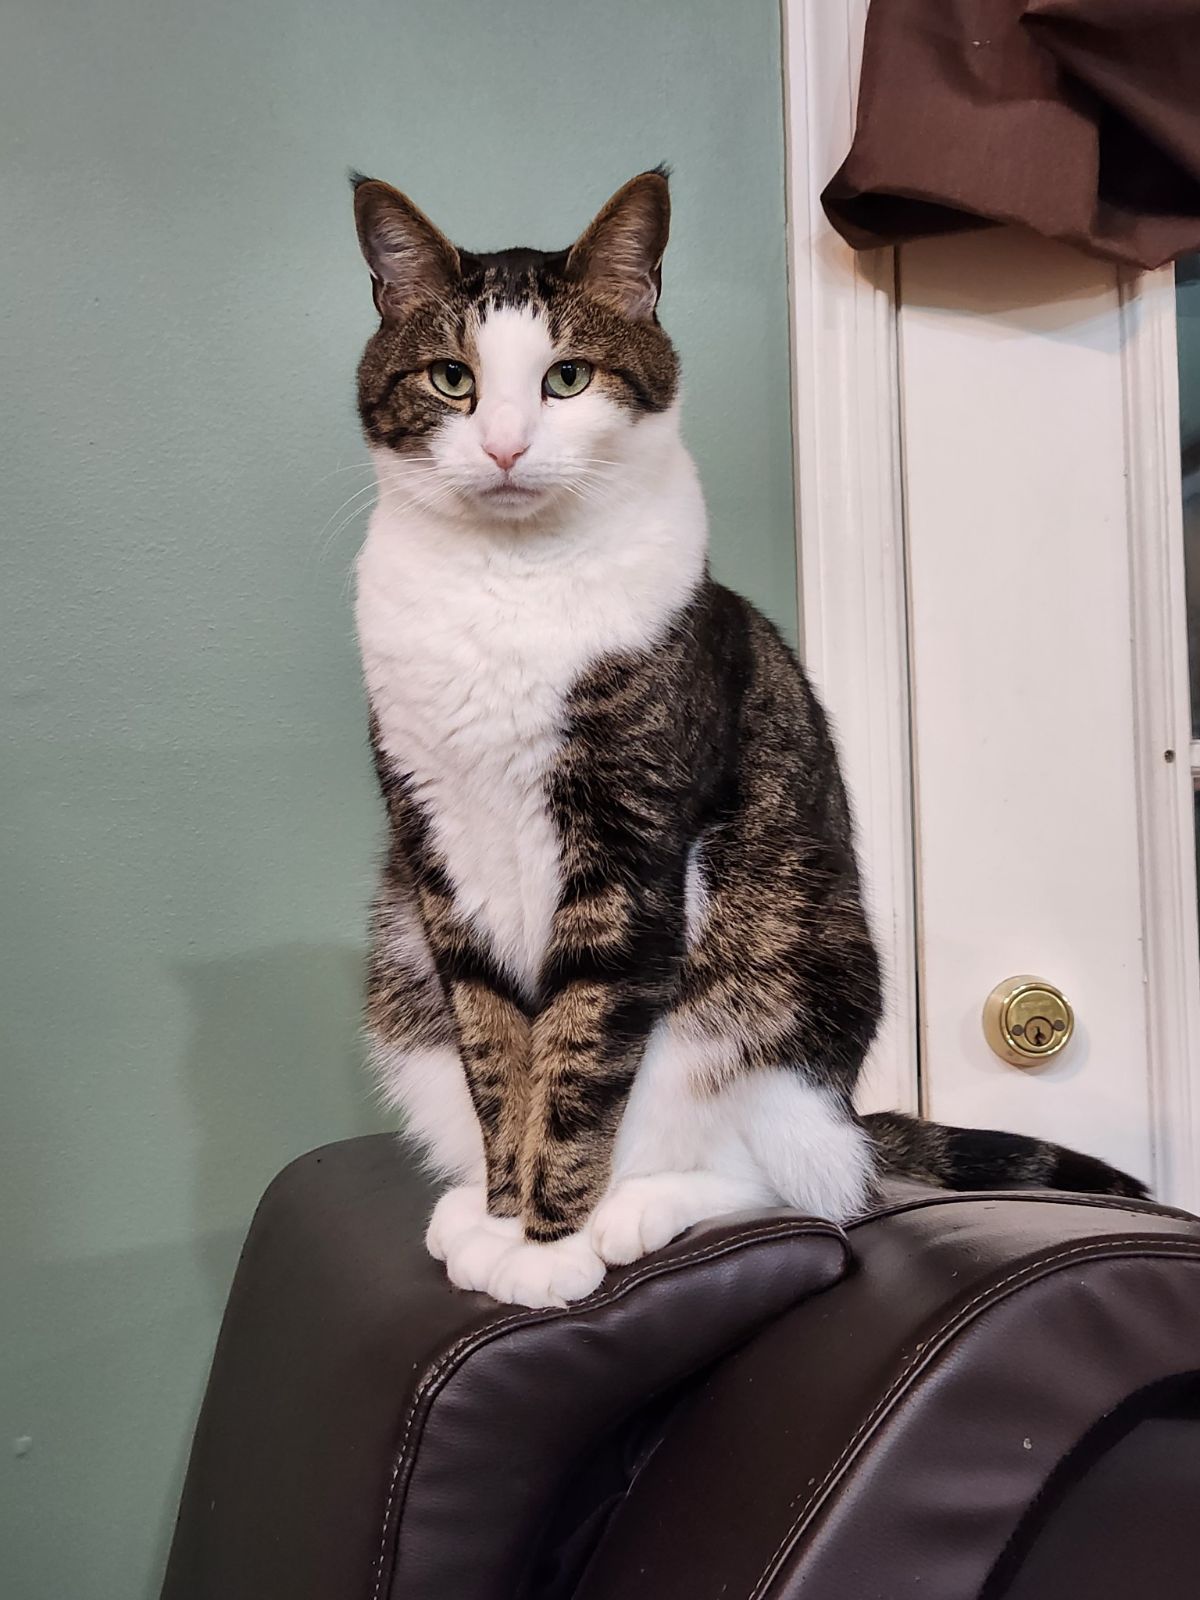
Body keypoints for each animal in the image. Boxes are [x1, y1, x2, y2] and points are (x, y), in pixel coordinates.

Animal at [351, 167, 1146, 1309]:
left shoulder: (630, 844)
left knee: (804, 1178)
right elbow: (500, 1049)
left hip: (776, 991)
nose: (504, 444)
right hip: (401, 965)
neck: (507, 586)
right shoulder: (436, 846)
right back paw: (473, 1207)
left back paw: (641, 1207)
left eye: (566, 378)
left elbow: (581, 1051)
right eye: (452, 378)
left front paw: (548, 1242)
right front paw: (506, 1216)